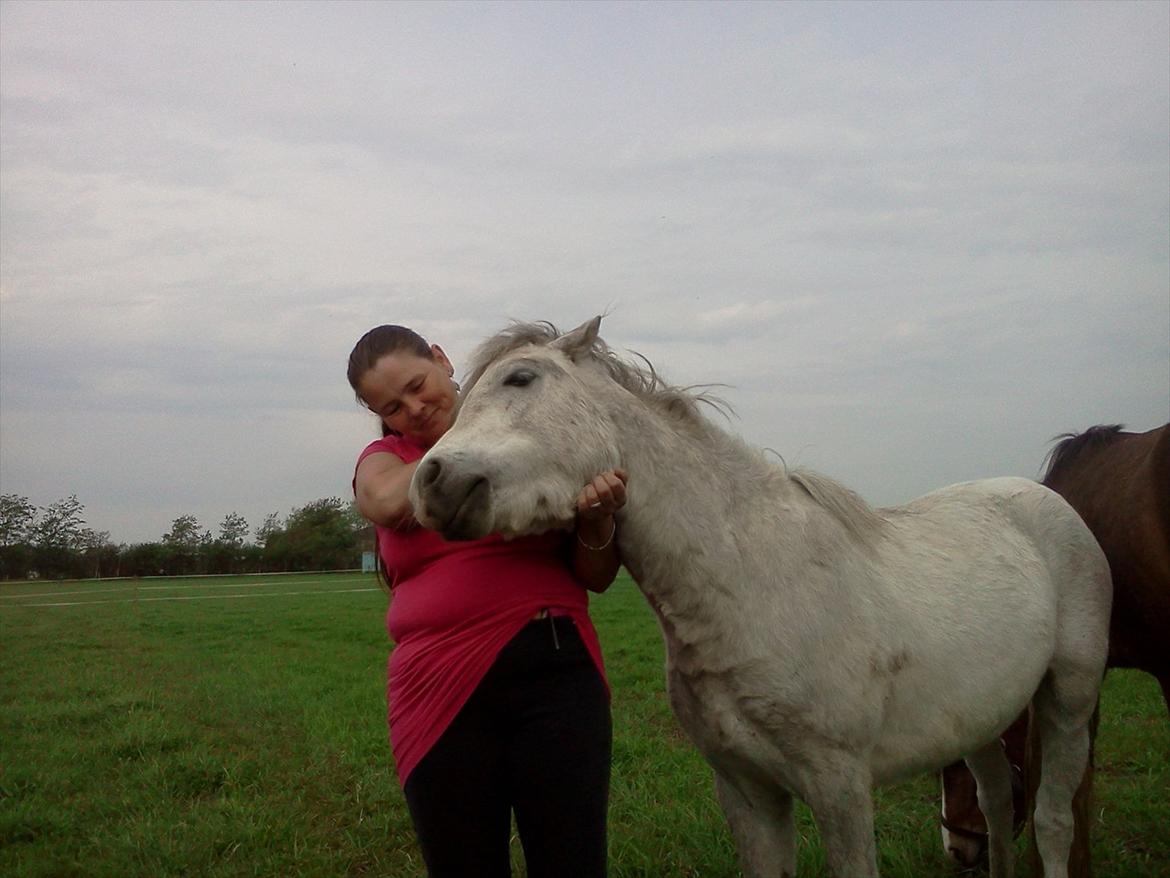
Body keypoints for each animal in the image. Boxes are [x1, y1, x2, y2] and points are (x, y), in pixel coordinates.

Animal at [410, 317, 1112, 878]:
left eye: (521, 379)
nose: (431, 482)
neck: (752, 584)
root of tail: (1047, 501)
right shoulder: (746, 790)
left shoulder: (841, 789)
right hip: (981, 718)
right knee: (996, 802)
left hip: (1068, 702)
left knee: (1051, 821)